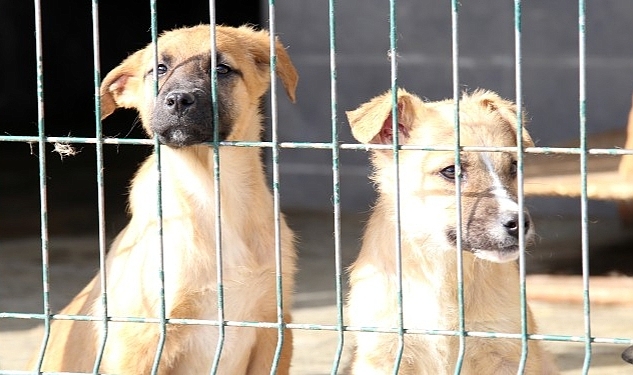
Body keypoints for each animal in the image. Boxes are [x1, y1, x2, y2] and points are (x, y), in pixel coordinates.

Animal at [27, 25, 298, 374]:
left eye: (222, 69)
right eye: (159, 69)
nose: (179, 100)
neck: (213, 196)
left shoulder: (273, 327)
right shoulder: (140, 339)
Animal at [344, 89, 556, 375]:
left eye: (513, 167)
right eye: (451, 171)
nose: (519, 224)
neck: (443, 270)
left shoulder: (507, 350)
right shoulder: (384, 353)